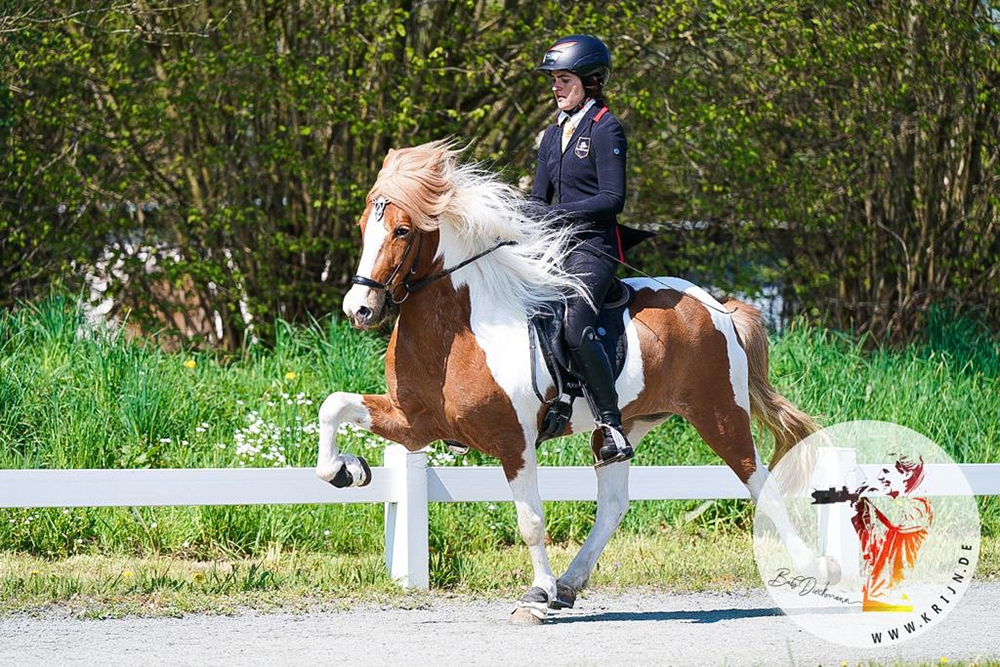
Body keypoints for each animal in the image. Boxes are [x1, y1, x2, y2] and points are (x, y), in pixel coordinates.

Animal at [318, 138, 836, 624]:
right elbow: (333, 406)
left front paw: (536, 595)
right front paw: (349, 470)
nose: (358, 310)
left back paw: (813, 569)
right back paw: (570, 584)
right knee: (613, 503)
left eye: (402, 230)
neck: (459, 326)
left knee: (760, 483)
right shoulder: (415, 423)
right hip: (626, 427)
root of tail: (717, 306)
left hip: (720, 413)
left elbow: (530, 519)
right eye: (363, 228)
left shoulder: (513, 440)